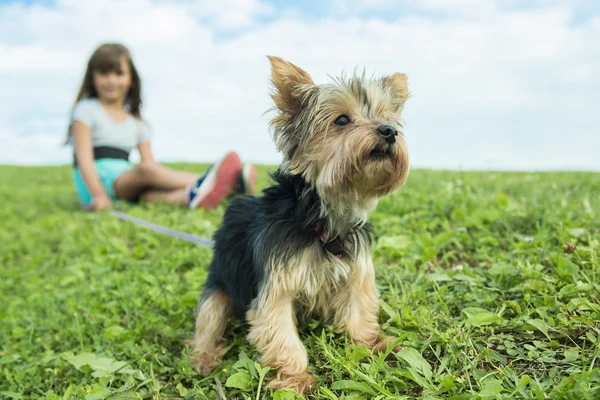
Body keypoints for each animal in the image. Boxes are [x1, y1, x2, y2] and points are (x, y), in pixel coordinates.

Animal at [188, 55, 410, 394]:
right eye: (341, 120)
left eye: (388, 118)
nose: (389, 131)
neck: (322, 217)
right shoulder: (275, 286)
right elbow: (282, 334)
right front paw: (295, 379)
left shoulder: (356, 270)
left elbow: (359, 308)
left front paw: (372, 345)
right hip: (218, 289)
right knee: (208, 320)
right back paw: (204, 357)